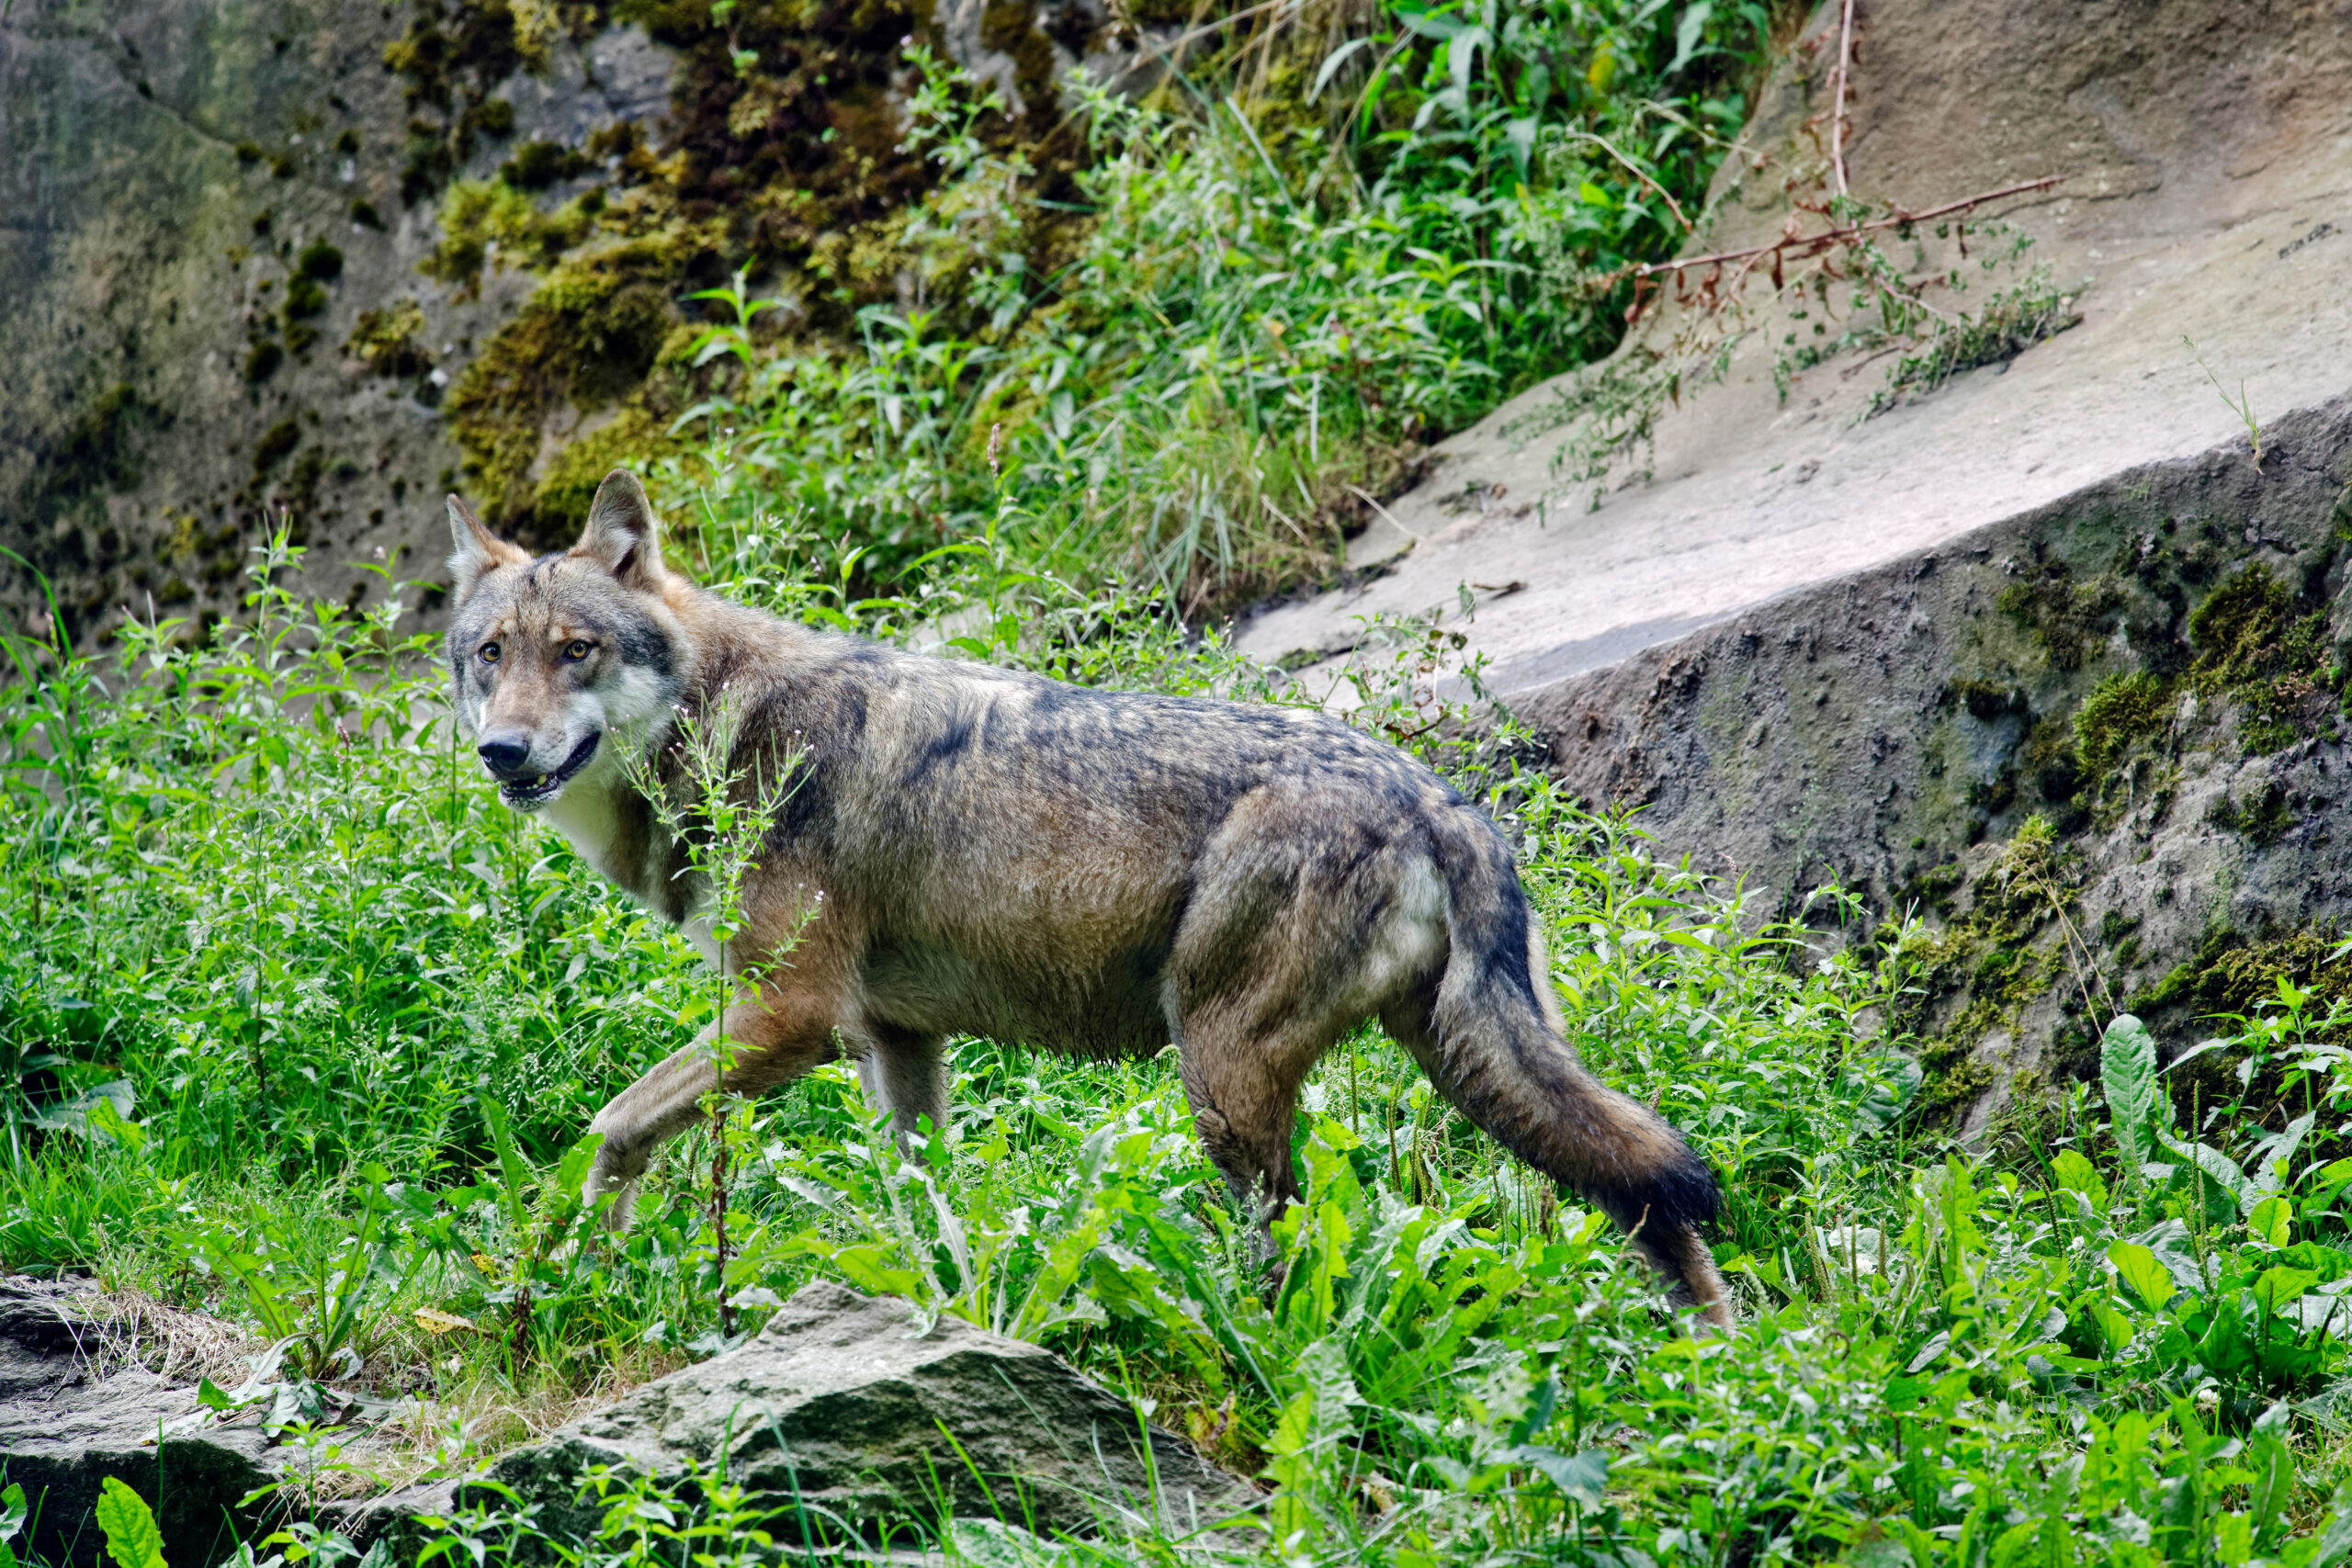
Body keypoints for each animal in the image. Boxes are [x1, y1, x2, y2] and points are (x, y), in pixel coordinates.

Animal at [443, 469, 1734, 1329]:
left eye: (573, 650)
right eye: (488, 655)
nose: (501, 751)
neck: (721, 725)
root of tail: (1437, 798)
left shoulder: (787, 1019)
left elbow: (611, 1127)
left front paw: (582, 1263)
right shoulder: (895, 1041)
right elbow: (927, 1209)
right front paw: (952, 1316)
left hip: (1224, 1076)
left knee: (1300, 1236)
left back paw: (1262, 1343)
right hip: (1471, 1070)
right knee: (1649, 1191)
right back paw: (1711, 1366)